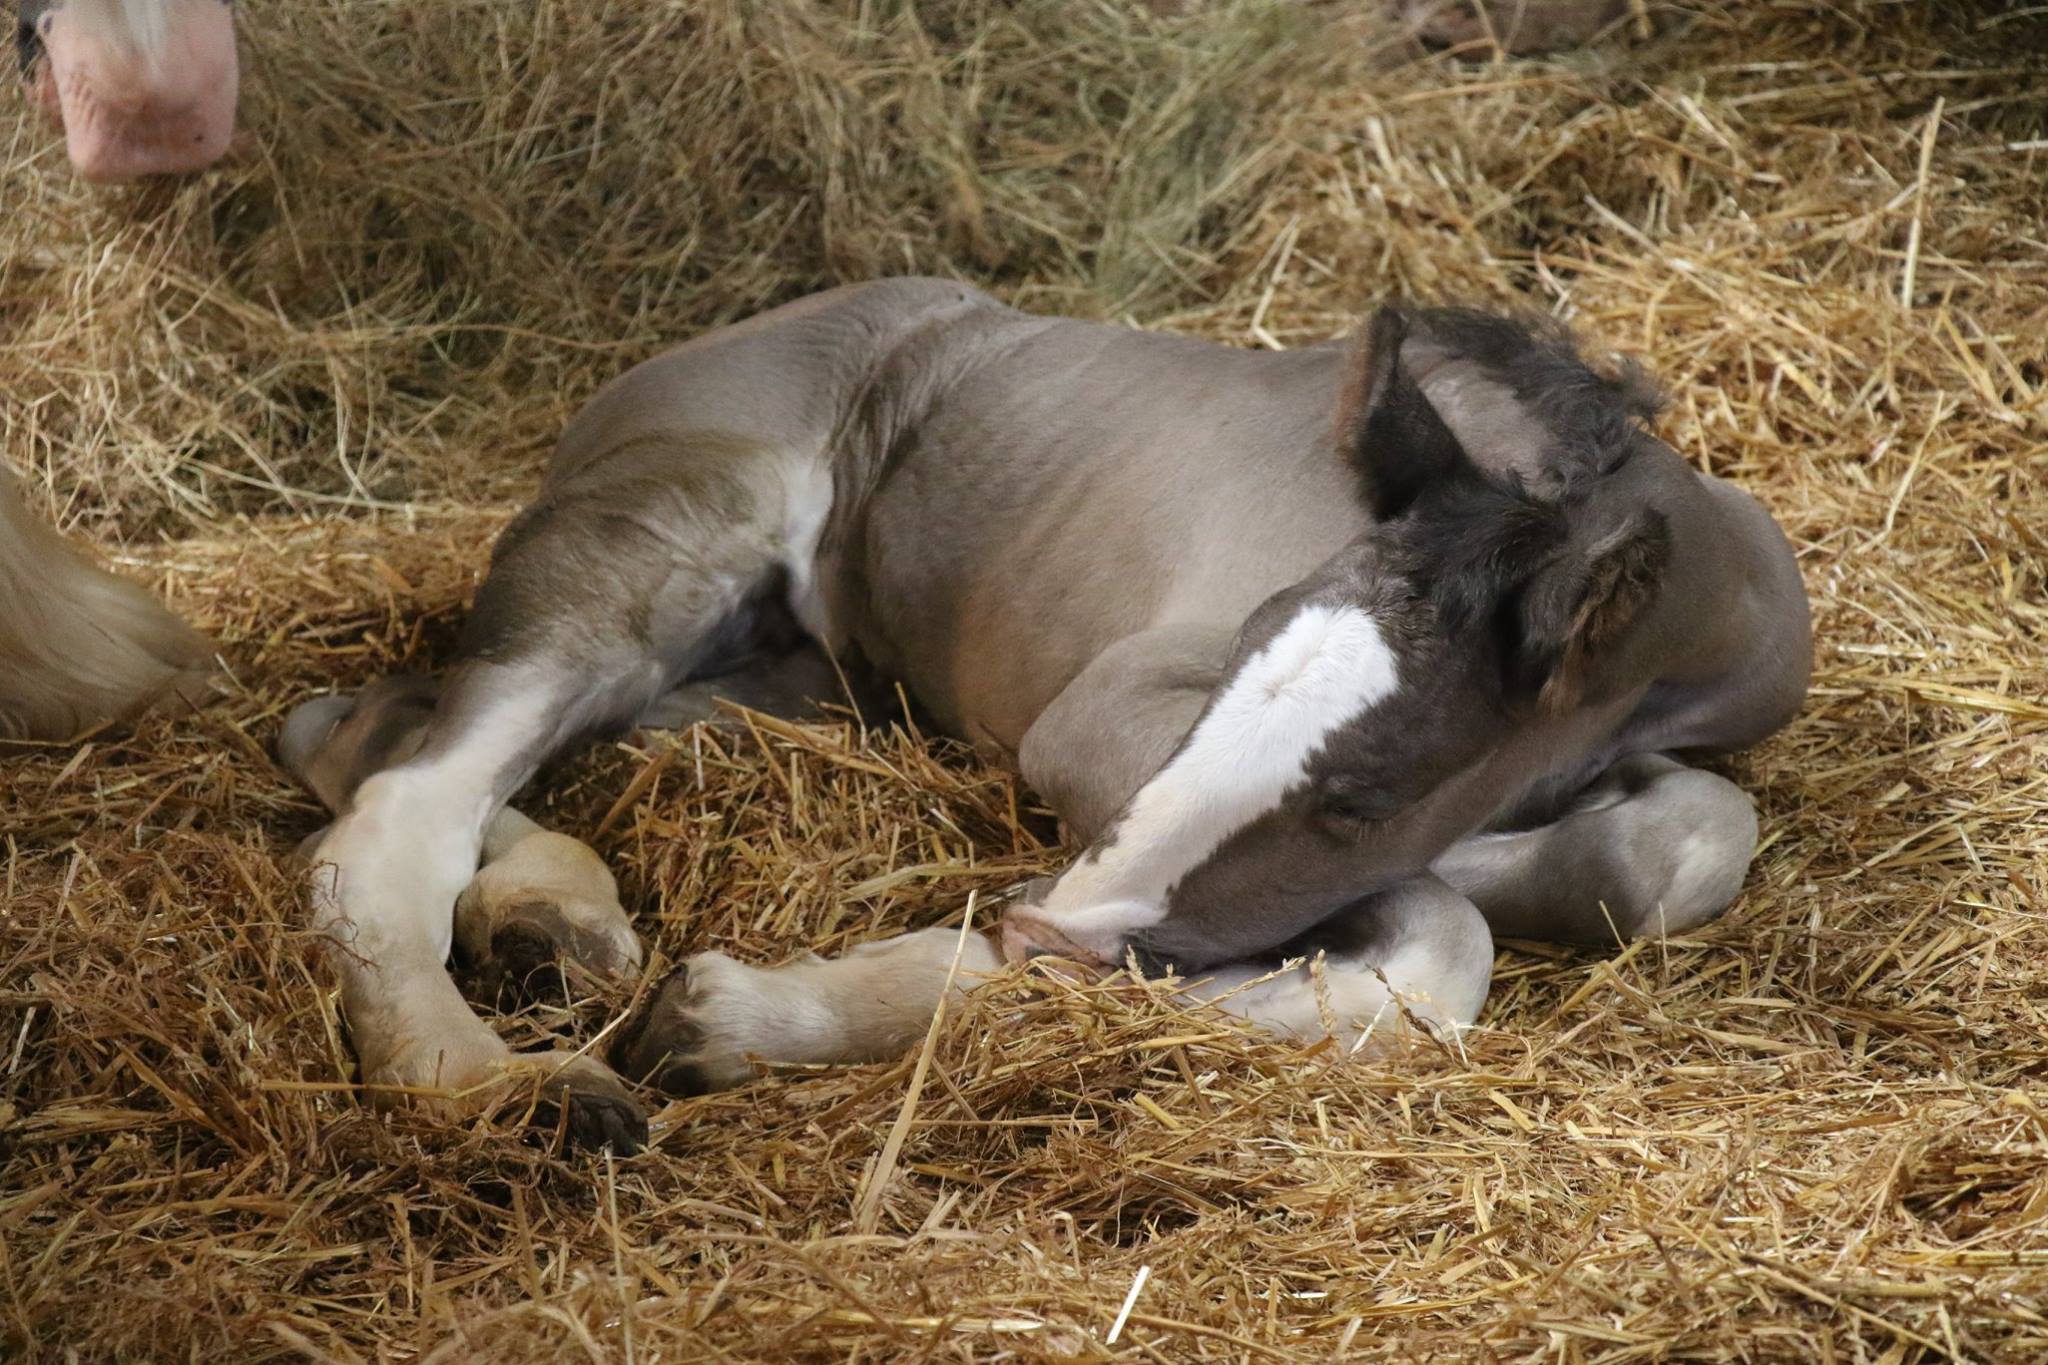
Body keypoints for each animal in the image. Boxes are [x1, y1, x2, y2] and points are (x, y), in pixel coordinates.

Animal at [280, 280, 1802, 1154]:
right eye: (1243, 643)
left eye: (1362, 793)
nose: (1039, 928)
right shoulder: (1100, 722)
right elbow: (1430, 947)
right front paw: (761, 1011)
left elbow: (1677, 844)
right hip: (659, 545)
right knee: (399, 804)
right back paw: (508, 1089)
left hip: (767, 689)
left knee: (363, 725)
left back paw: (551, 923)